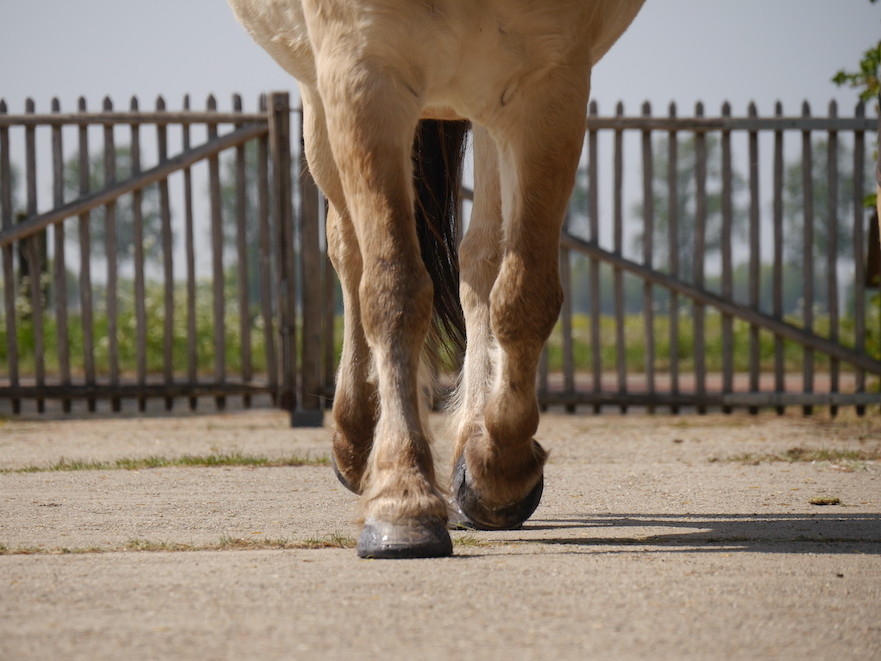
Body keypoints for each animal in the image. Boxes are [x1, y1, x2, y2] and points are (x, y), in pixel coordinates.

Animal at [223, 0, 644, 556]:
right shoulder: (362, 73)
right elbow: (393, 289)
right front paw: (402, 502)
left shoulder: (550, 84)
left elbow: (524, 294)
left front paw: (497, 469)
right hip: (319, 93)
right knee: (349, 249)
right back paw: (357, 438)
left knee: (482, 257)